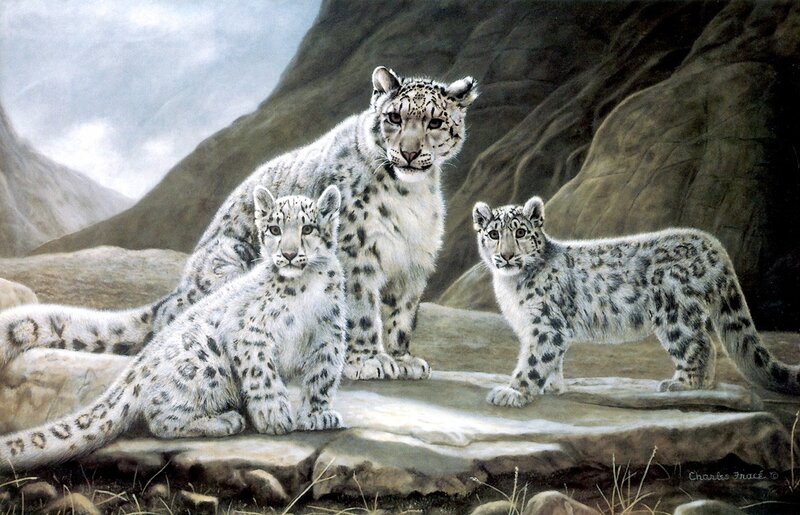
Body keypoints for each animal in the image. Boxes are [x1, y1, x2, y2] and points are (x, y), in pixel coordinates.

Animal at [0, 66, 478, 382]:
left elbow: (401, 316)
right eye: (394, 117)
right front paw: (368, 361)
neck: (410, 196)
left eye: (436, 121)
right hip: (231, 262)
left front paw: (403, 359)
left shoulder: (413, 263)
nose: (410, 153)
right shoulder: (357, 255)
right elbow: (362, 312)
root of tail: (176, 293)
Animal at [0, 187, 346, 470]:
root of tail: (140, 364)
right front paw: (275, 416)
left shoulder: (328, 335)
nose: (288, 254)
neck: (306, 288)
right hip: (207, 360)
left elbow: (323, 374)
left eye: (308, 228)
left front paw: (319, 415)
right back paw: (224, 421)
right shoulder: (250, 334)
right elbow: (263, 375)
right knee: (160, 416)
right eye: (274, 228)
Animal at [472, 195, 800, 408]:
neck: (510, 285)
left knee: (701, 343)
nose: (507, 256)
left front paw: (513, 392)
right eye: (493, 234)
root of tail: (710, 242)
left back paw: (682, 385)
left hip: (675, 313)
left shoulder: (547, 324)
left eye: (520, 231)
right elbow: (553, 360)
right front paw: (553, 387)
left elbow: (534, 359)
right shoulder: (539, 326)